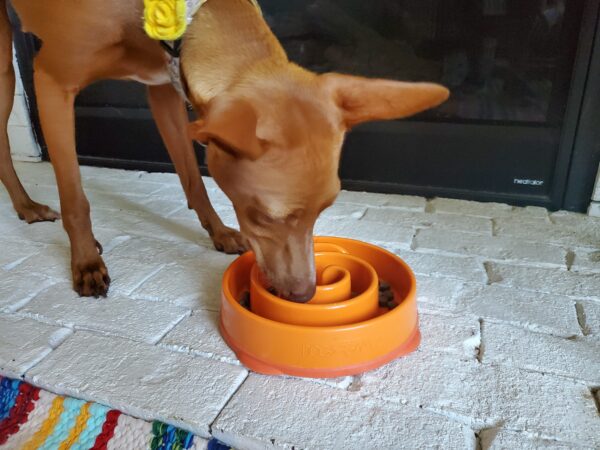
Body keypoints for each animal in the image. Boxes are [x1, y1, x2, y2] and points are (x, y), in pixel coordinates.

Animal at [1, 0, 450, 302]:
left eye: (324, 211)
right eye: (263, 217)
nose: (305, 294)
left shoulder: (165, 88)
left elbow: (192, 177)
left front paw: (217, 232)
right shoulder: (52, 81)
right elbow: (75, 198)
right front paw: (86, 262)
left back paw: (25, 207)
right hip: (8, 67)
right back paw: (27, 206)